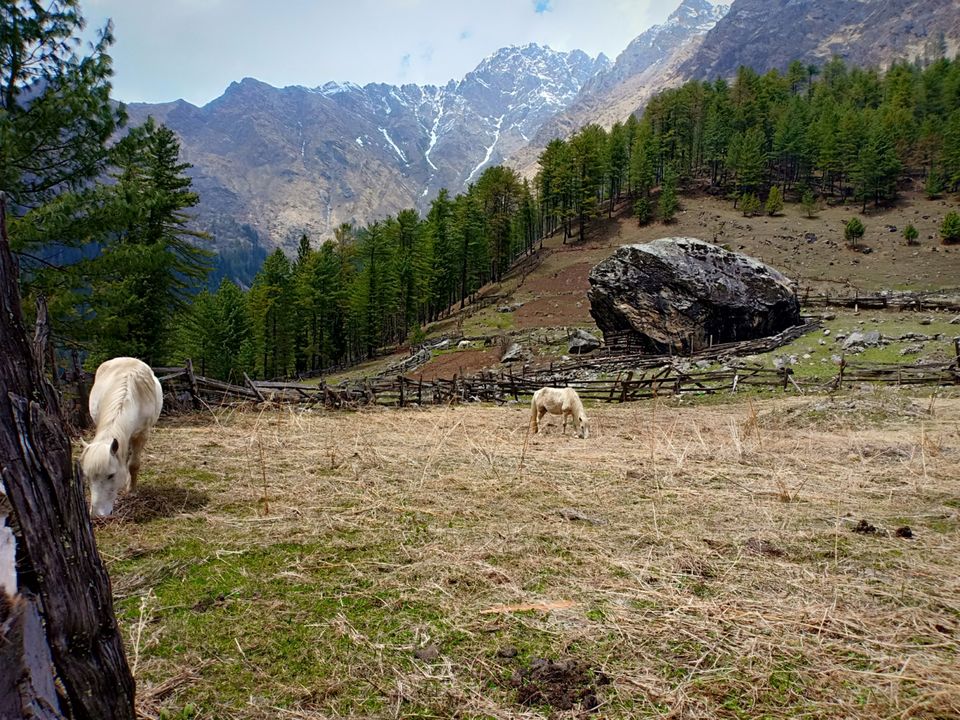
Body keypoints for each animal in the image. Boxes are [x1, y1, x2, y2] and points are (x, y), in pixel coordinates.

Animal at [79, 356, 162, 516]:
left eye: (111, 475)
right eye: (87, 476)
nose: (98, 514)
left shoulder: (142, 434)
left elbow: (134, 464)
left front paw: (132, 491)